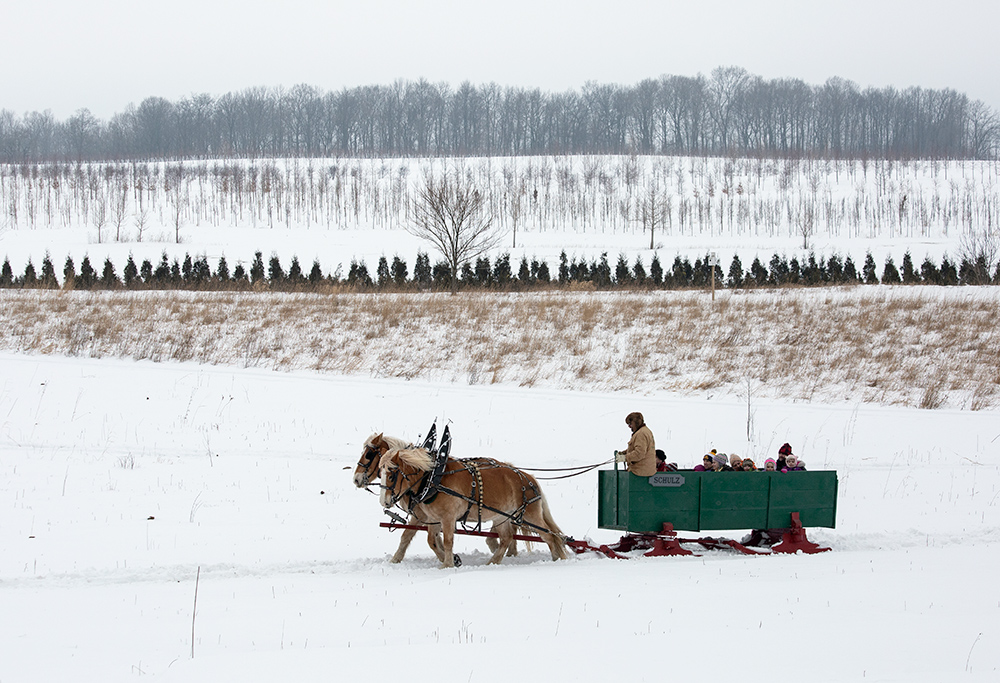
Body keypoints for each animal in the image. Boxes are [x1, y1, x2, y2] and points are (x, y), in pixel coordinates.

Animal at [378, 446, 568, 568]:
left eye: (392, 474)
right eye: (380, 473)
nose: (384, 502)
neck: (434, 480)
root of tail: (529, 478)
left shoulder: (448, 518)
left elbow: (447, 541)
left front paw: (447, 564)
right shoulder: (433, 519)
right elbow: (431, 540)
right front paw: (452, 561)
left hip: (529, 514)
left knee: (550, 536)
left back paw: (557, 559)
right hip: (502, 516)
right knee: (506, 538)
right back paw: (493, 562)